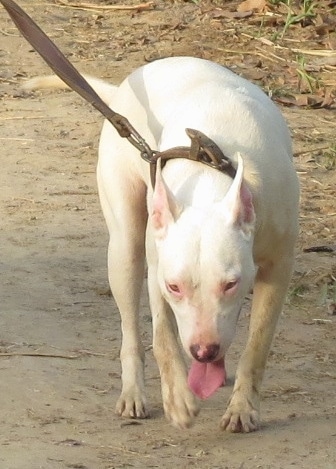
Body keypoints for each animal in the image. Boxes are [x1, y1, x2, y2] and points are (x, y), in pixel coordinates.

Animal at [25, 57, 300, 432]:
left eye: (230, 284)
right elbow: (164, 337)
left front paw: (242, 407)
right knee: (131, 325)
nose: (203, 351)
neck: (209, 181)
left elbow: (257, 343)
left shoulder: (277, 268)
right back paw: (134, 393)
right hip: (124, 247)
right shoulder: (158, 266)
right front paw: (179, 399)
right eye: (174, 287)